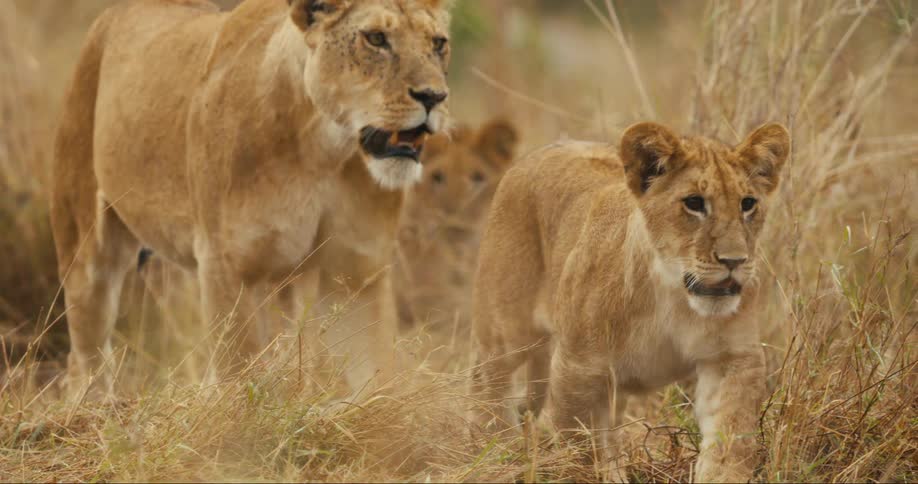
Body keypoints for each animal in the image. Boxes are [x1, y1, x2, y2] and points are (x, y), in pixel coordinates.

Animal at [51, 0, 453, 395]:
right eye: (376, 38)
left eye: (438, 44)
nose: (434, 97)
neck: (323, 151)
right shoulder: (225, 265)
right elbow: (237, 379)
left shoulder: (357, 272)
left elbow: (375, 379)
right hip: (86, 249)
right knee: (85, 357)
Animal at [471, 122, 790, 482]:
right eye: (694, 203)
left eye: (748, 204)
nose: (734, 260)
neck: (672, 296)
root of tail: (544, 150)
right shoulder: (578, 367)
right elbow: (578, 448)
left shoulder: (731, 359)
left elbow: (731, 440)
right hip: (506, 330)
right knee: (487, 380)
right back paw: (492, 449)